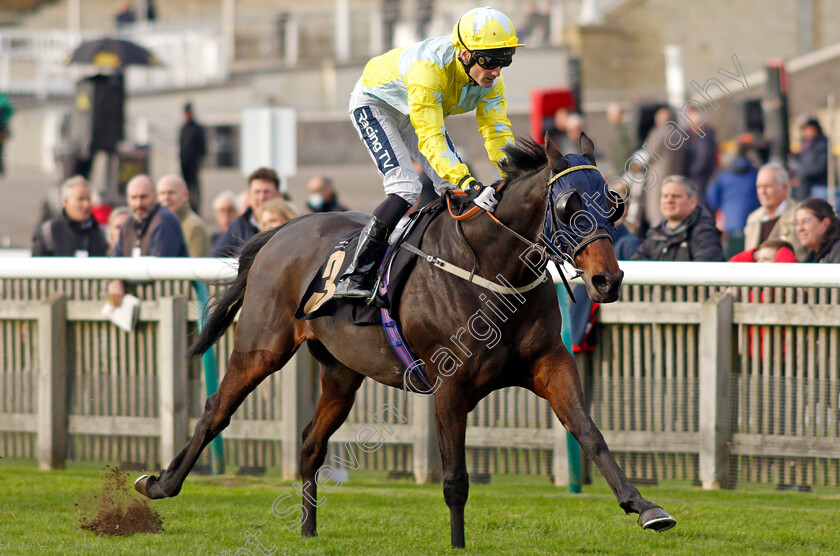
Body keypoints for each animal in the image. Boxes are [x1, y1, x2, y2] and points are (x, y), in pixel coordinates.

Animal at [136, 135, 676, 548]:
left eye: (614, 203)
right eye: (568, 206)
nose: (608, 280)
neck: (491, 268)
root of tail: (282, 230)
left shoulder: (550, 364)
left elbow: (590, 433)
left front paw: (645, 507)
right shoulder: (450, 386)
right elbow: (455, 478)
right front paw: (458, 546)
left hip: (341, 372)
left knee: (311, 442)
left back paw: (308, 531)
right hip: (261, 347)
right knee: (216, 410)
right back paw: (161, 483)